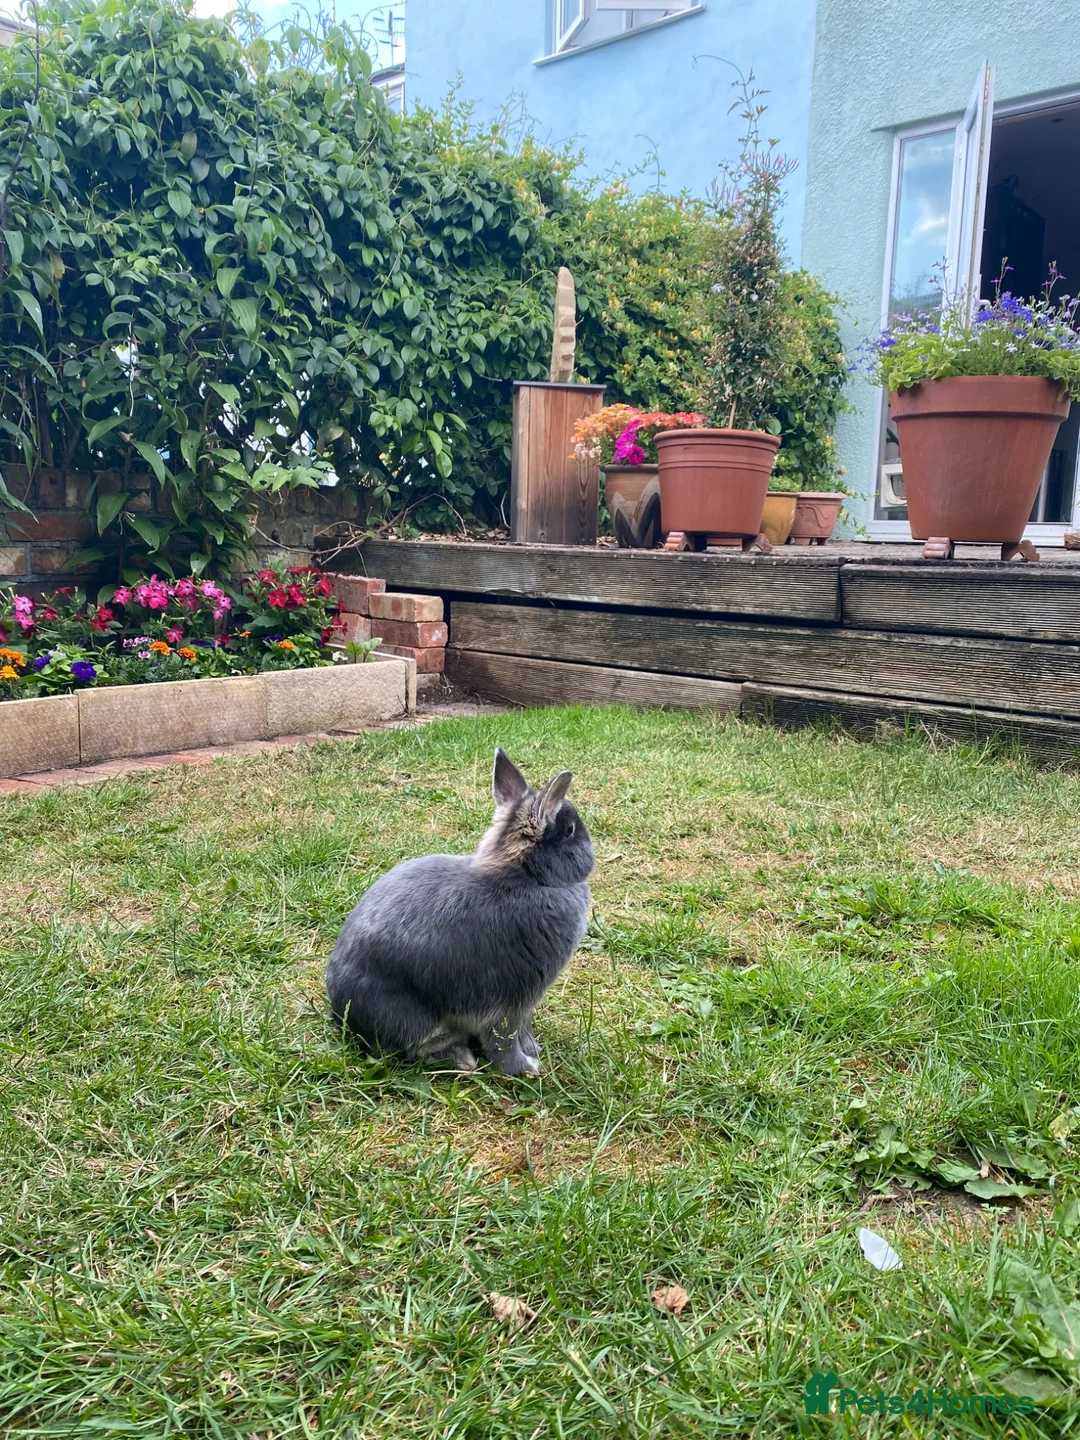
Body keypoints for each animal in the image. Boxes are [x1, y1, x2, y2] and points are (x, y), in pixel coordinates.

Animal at [326, 748, 595, 1077]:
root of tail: (341, 1012)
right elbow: (505, 1039)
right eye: (570, 830)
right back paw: (463, 1061)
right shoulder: (514, 999)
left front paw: (534, 1050)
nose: (592, 854)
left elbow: (523, 1032)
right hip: (413, 1017)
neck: (527, 877)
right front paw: (525, 1068)